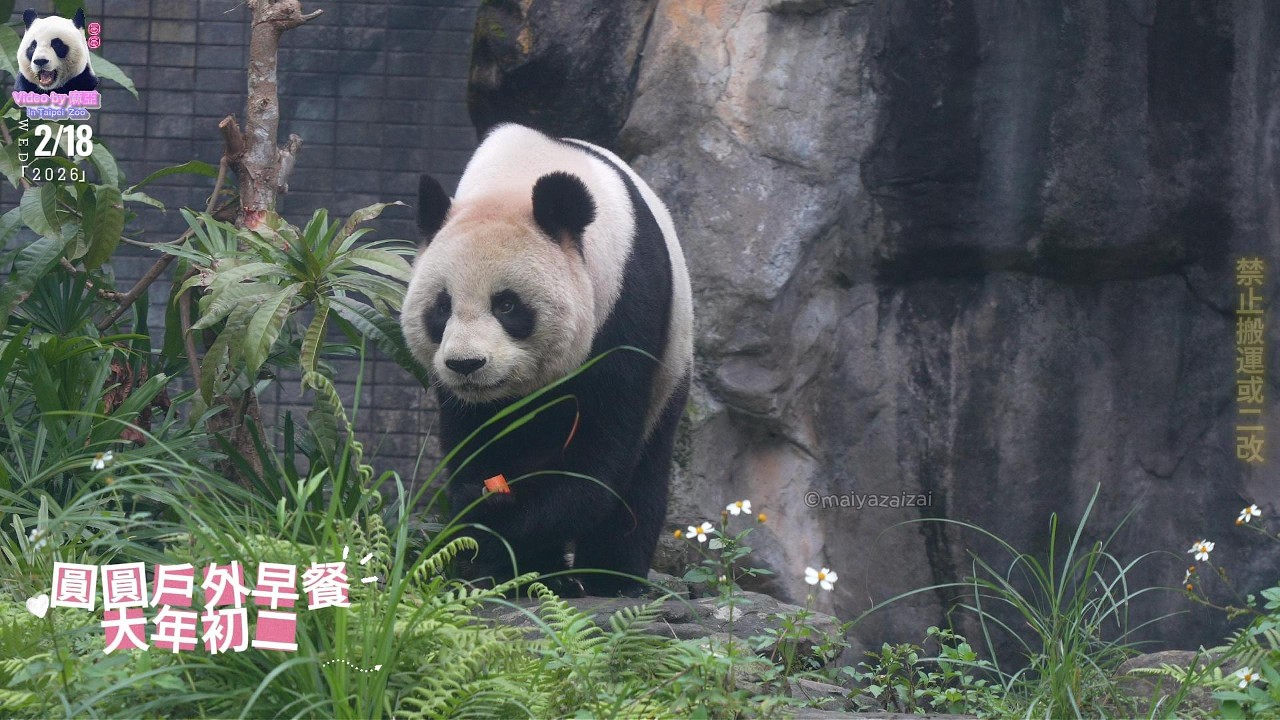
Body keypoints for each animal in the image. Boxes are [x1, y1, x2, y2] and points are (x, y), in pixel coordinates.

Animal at [402, 124, 694, 597]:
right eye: (442, 307)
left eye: (507, 305)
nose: (467, 364)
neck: (515, 178)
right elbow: (473, 439)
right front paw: (487, 527)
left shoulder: (625, 305)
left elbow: (598, 456)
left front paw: (503, 523)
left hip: (673, 363)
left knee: (644, 474)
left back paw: (611, 577)